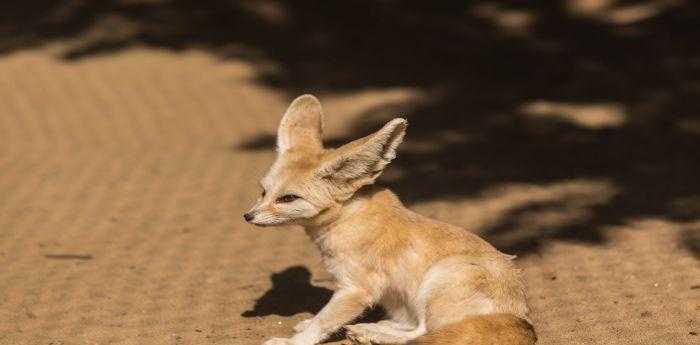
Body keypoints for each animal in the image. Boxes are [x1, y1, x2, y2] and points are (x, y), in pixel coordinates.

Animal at [243, 94, 532, 344]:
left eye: (288, 198)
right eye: (264, 191)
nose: (248, 216)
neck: (346, 218)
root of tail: (523, 319)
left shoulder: (355, 290)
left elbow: (322, 322)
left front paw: (291, 342)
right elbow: (320, 319)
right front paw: (308, 324)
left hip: (440, 277)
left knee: (423, 333)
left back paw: (374, 334)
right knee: (413, 326)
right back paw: (371, 327)